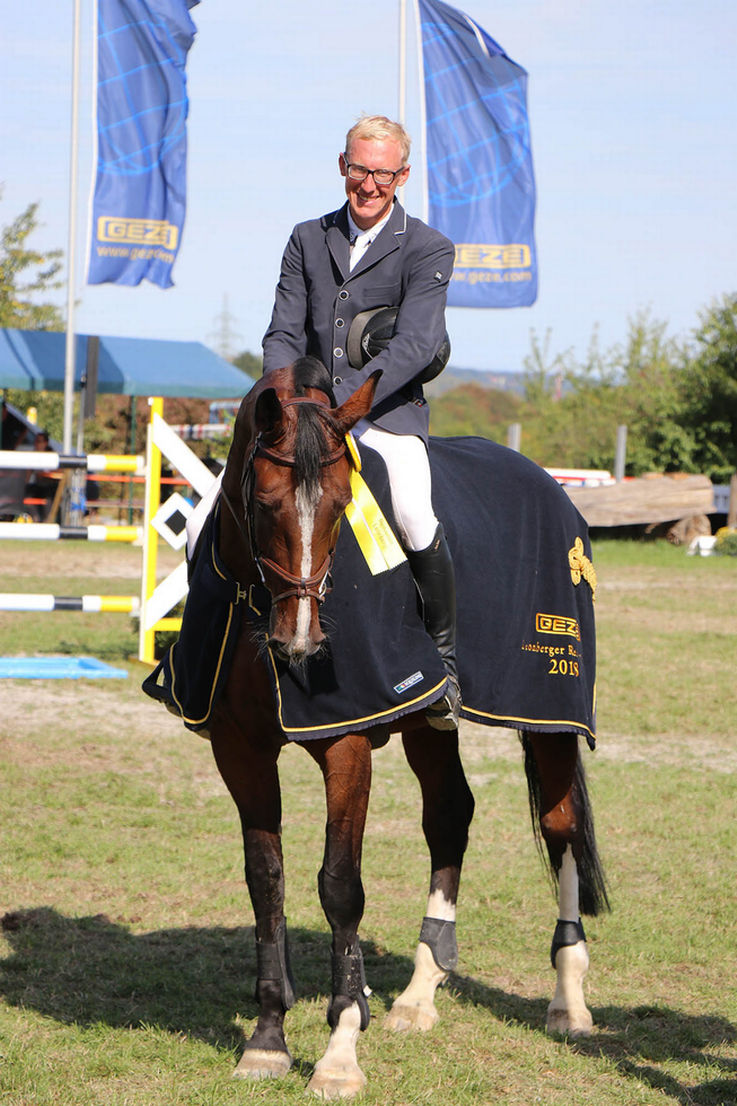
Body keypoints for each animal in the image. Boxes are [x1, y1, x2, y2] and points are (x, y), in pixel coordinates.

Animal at [203, 360, 606, 1097]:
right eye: (265, 502)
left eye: (343, 506)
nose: (300, 646)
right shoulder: (238, 751)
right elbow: (265, 878)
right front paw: (268, 1040)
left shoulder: (346, 744)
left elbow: (339, 885)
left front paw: (339, 1051)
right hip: (428, 726)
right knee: (450, 814)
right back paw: (420, 993)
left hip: (550, 714)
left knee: (560, 828)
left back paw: (568, 999)